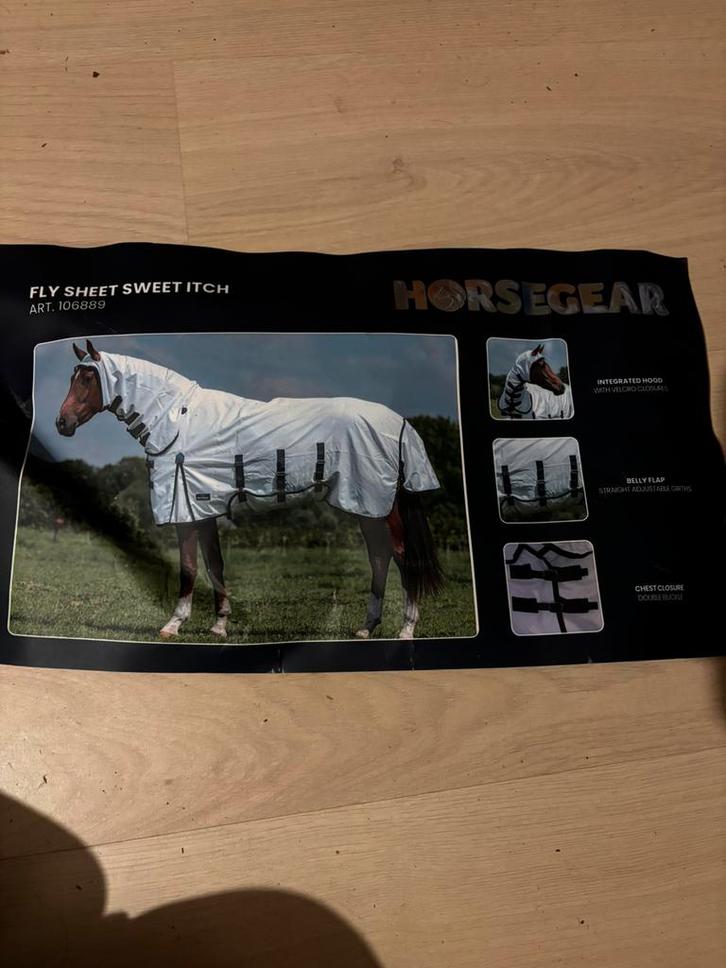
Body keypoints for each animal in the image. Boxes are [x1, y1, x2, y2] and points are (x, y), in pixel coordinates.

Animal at [55, 340, 444, 642]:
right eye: (72, 377)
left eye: (88, 378)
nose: (62, 423)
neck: (179, 421)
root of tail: (400, 424)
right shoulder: (204, 509)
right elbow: (215, 564)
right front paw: (219, 625)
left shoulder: (186, 510)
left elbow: (189, 567)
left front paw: (173, 625)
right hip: (366, 506)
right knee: (379, 557)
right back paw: (366, 627)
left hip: (381, 506)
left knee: (402, 557)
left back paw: (406, 629)